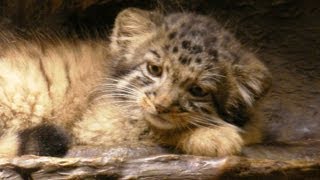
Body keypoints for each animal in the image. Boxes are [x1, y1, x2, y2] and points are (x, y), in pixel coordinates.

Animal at [0, 7, 270, 157]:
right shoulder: (96, 125)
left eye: (198, 90)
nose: (161, 106)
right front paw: (214, 136)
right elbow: (157, 130)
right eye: (154, 69)